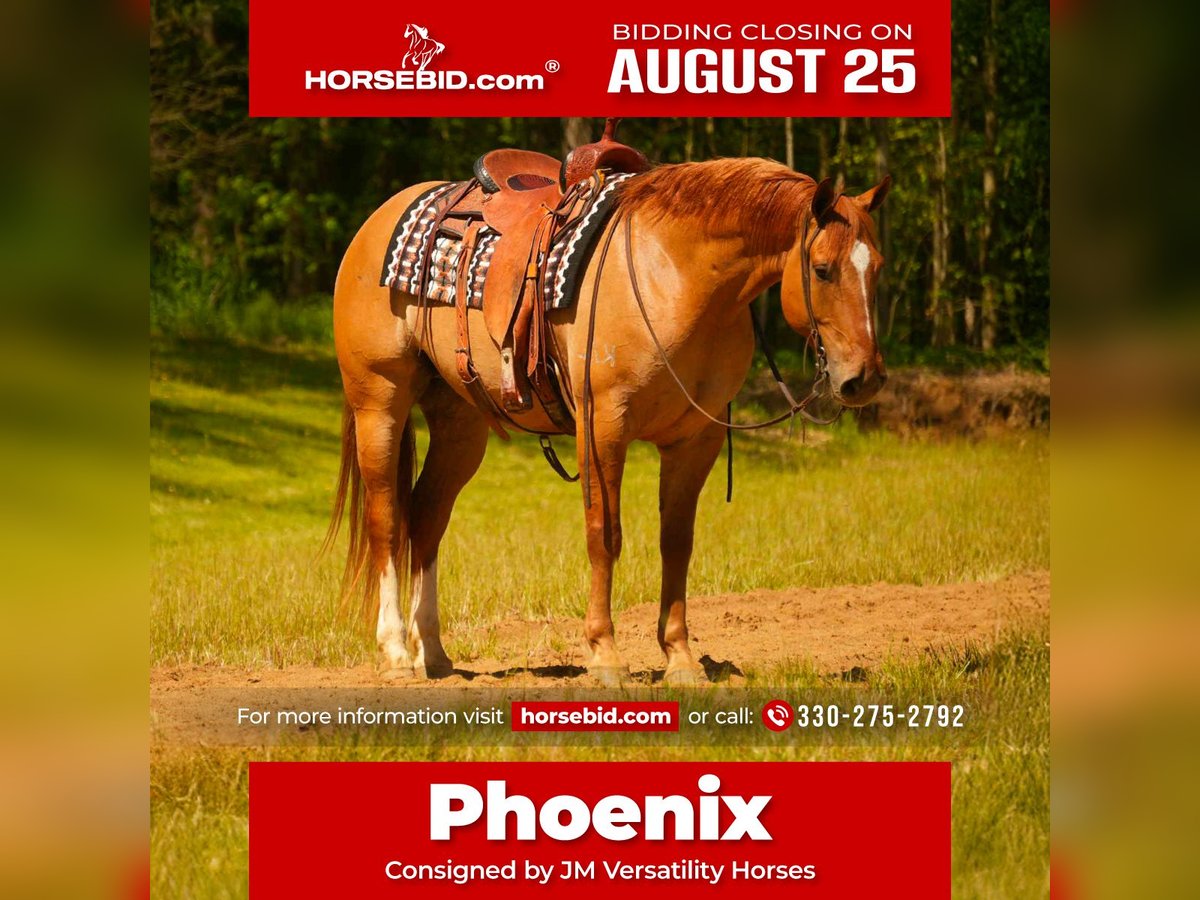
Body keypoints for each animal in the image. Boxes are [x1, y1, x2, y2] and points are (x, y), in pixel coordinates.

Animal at [328, 157, 890, 685]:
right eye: (822, 269)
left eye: (878, 269)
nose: (864, 378)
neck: (677, 273)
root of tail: (378, 220)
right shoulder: (604, 428)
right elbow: (605, 535)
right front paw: (605, 654)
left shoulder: (696, 439)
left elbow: (677, 543)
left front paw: (680, 657)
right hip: (380, 404)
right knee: (387, 519)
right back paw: (397, 652)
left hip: (460, 423)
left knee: (427, 517)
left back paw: (434, 652)